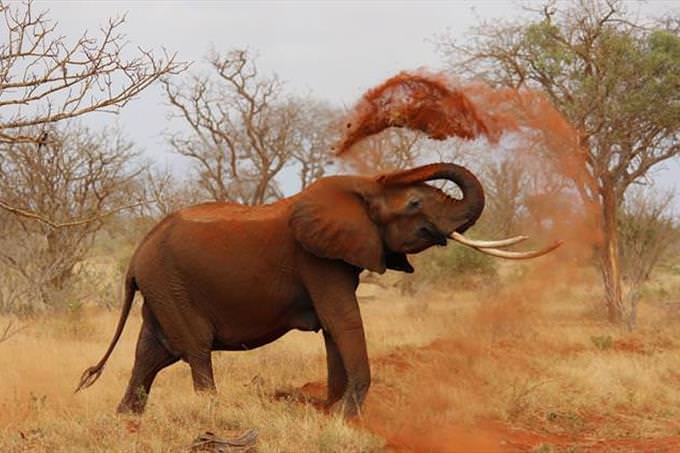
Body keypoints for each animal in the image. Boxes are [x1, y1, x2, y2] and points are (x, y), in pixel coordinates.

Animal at [75, 162, 556, 416]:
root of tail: (136, 255)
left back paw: (127, 420)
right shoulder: (317, 260)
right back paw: (210, 412)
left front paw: (332, 410)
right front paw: (347, 415)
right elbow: (342, 320)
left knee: (152, 353)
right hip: (170, 284)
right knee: (193, 349)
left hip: (162, 288)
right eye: (416, 203)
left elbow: (333, 328)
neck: (361, 189)